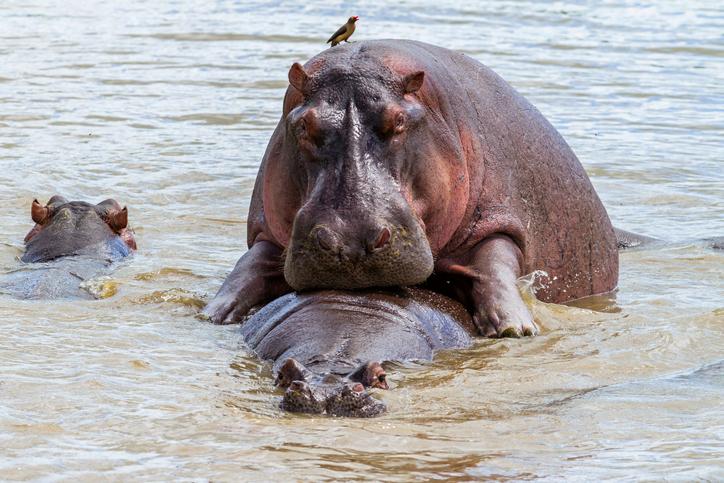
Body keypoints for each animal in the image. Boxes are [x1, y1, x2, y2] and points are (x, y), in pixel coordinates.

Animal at [202, 39, 616, 338]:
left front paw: (515, 326)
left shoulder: (500, 213)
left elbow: (496, 259)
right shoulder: (268, 228)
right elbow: (249, 264)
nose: (351, 243)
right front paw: (216, 311)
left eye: (399, 120)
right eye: (304, 124)